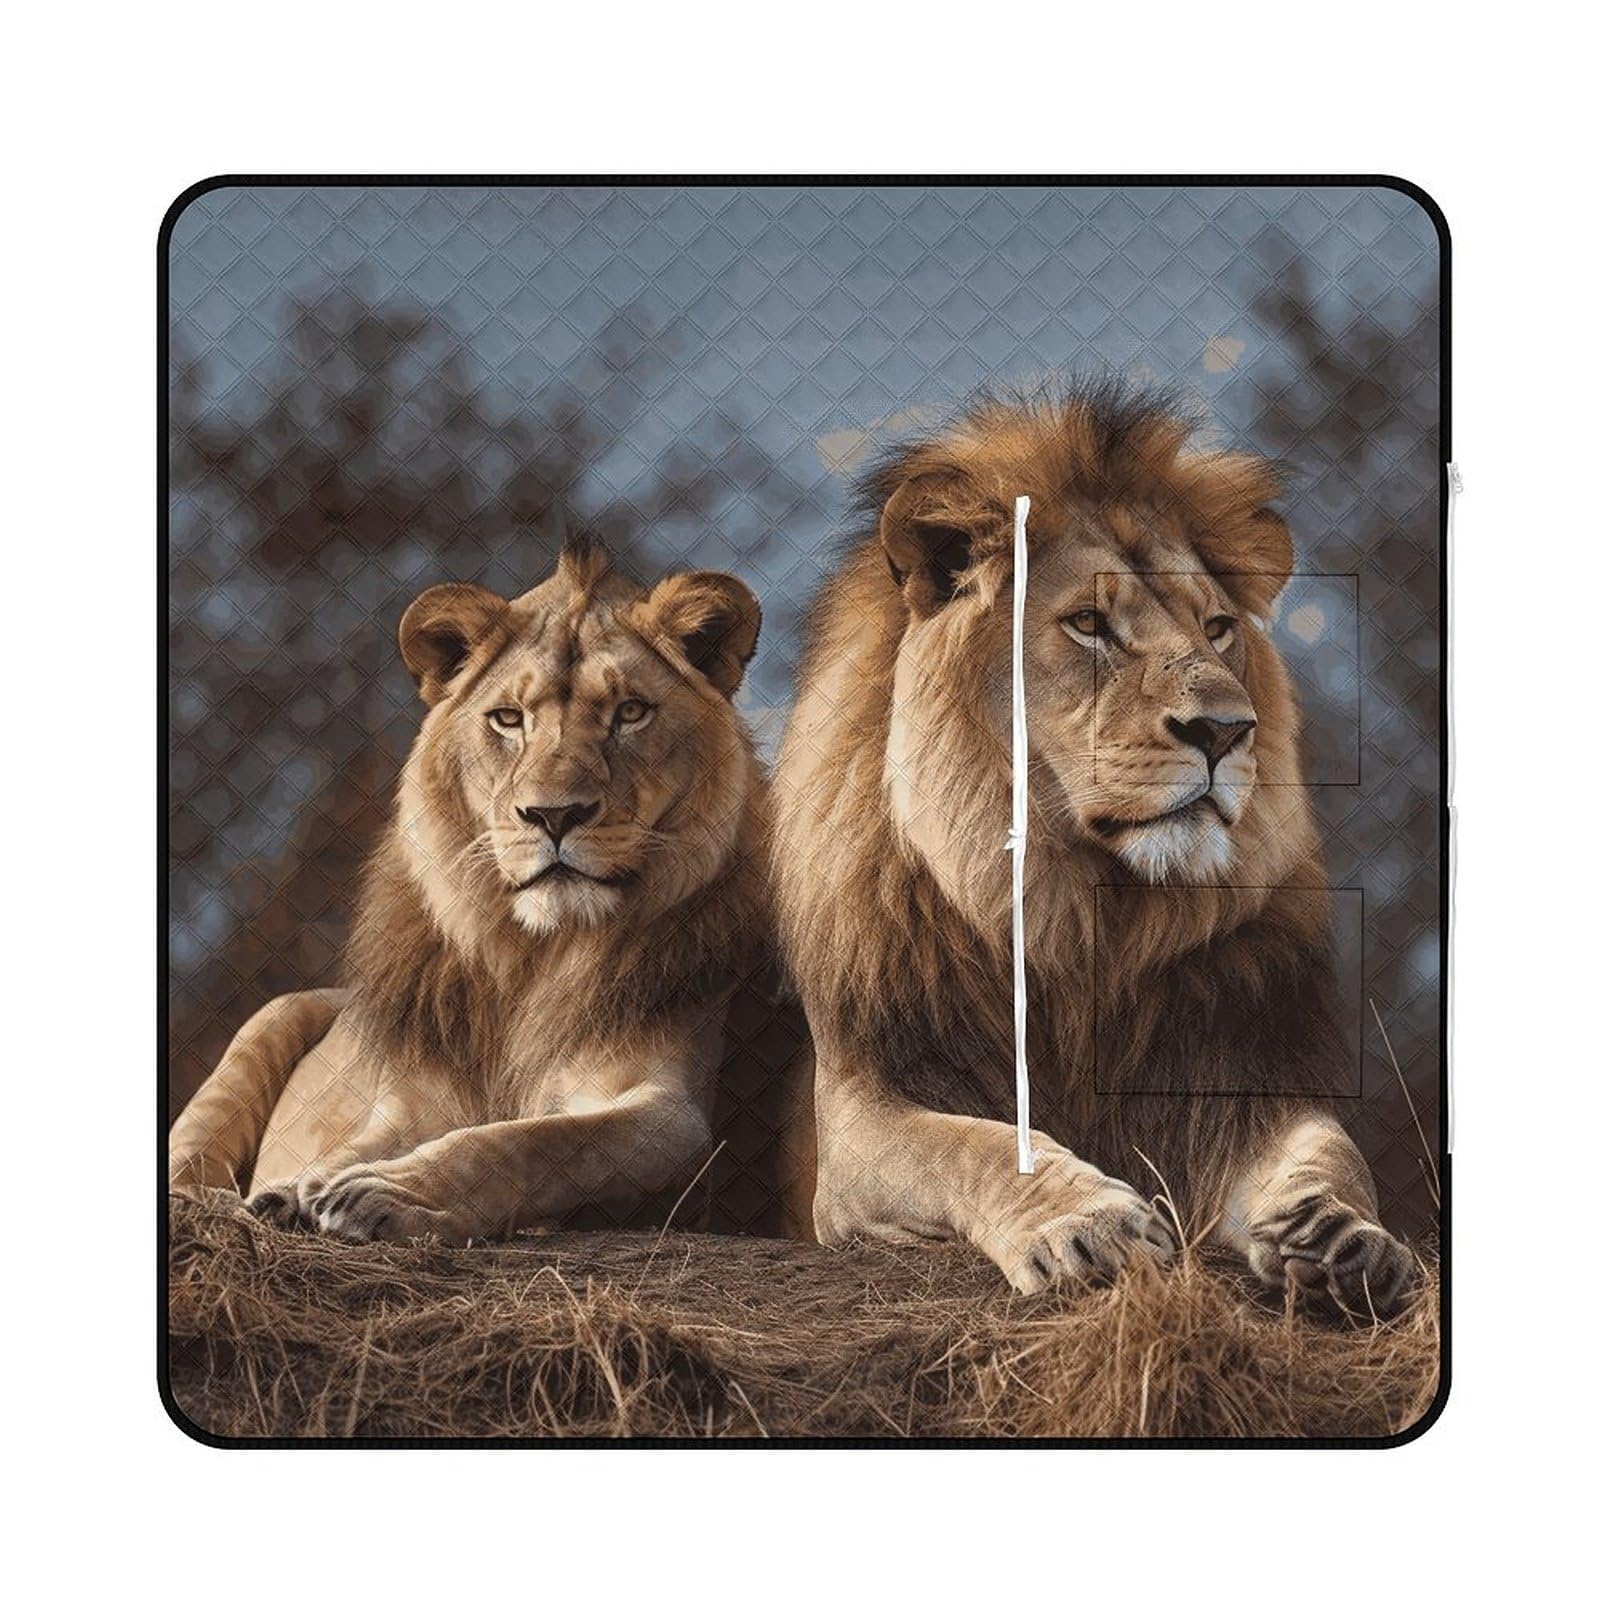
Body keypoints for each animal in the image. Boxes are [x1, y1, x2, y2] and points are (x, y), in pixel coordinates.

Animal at [168, 541, 769, 1244]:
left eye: (630, 712)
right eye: (508, 719)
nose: (554, 816)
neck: (534, 957)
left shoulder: (674, 1120)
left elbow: (532, 1142)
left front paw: (383, 1194)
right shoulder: (410, 1103)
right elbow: (354, 1147)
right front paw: (293, 1192)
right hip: (275, 1015)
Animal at [772, 383, 1420, 1317]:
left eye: (1218, 628)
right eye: (1087, 624)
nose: (1227, 730)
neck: (1080, 919)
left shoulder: (1238, 1083)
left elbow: (1331, 1154)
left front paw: (1341, 1237)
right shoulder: (866, 1113)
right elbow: (977, 1144)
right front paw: (1090, 1225)